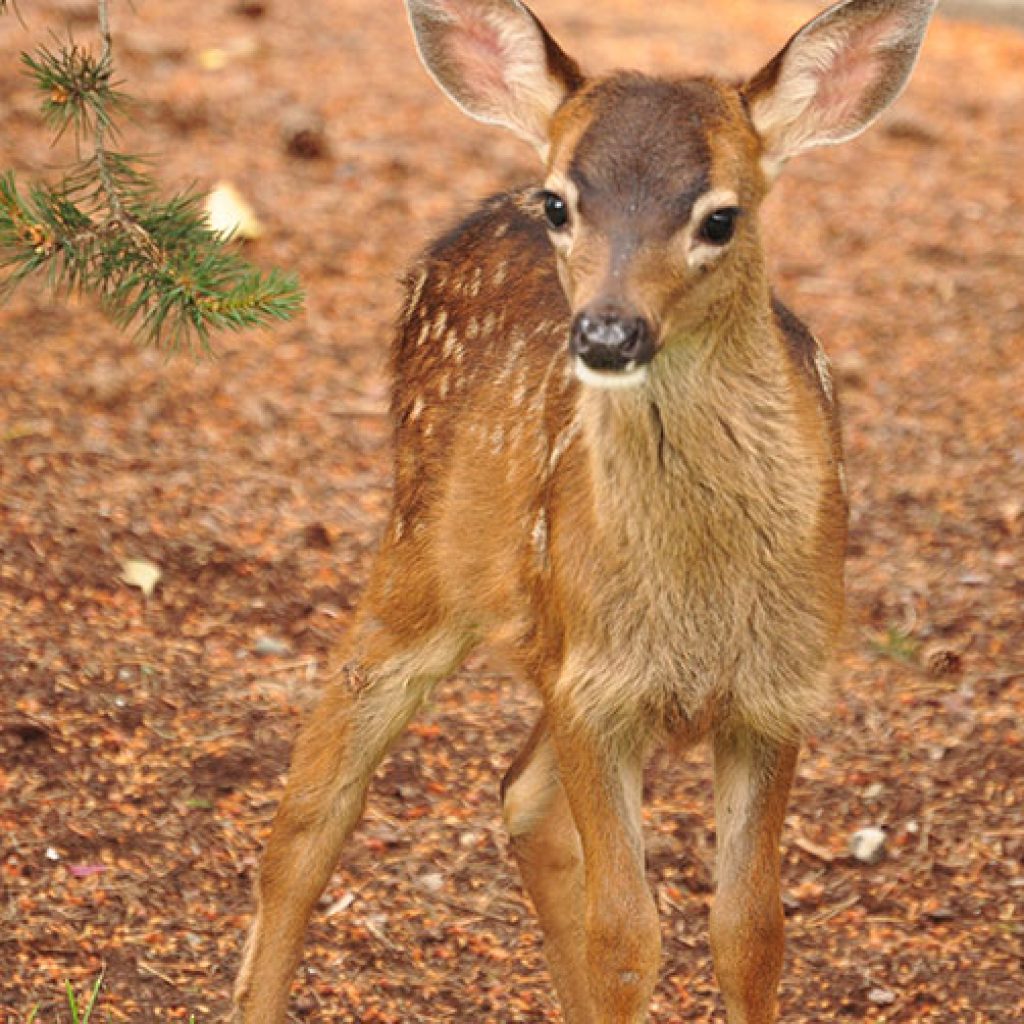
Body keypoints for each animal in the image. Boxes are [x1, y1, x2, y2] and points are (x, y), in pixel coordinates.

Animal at [232, 0, 937, 1020]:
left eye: (721, 215)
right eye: (564, 203)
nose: (608, 331)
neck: (702, 594)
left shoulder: (778, 691)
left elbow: (751, 933)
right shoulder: (596, 693)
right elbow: (627, 940)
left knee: (519, 796)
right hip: (423, 558)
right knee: (313, 800)